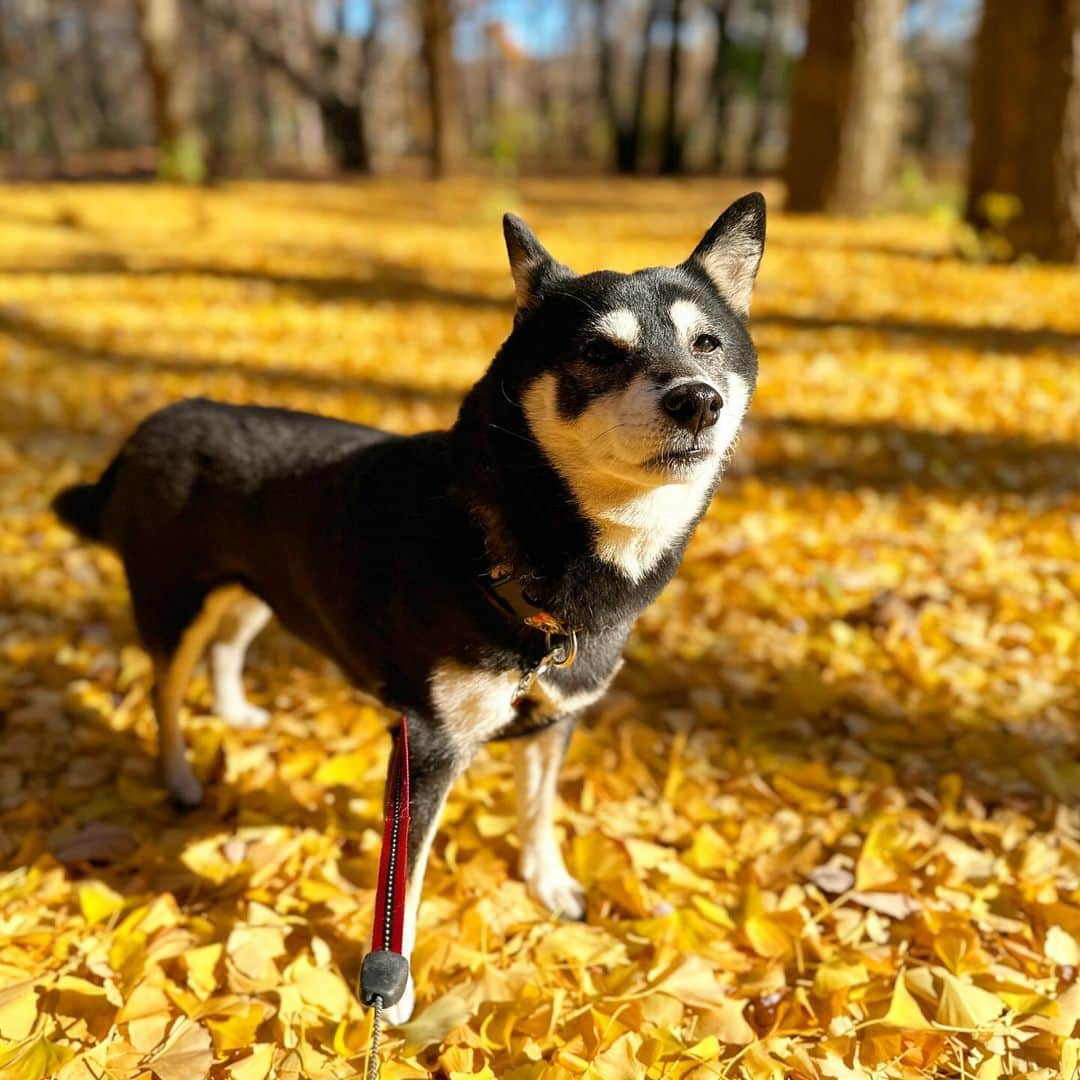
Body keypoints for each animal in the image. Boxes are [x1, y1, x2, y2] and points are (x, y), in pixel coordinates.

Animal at [52, 194, 768, 1019]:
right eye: (597, 352)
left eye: (707, 343)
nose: (698, 399)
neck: (523, 553)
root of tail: (146, 429)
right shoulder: (426, 743)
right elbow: (409, 877)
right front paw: (391, 993)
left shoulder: (557, 717)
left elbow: (538, 810)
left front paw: (548, 882)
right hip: (175, 605)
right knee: (165, 693)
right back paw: (178, 779)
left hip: (262, 589)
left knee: (229, 646)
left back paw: (233, 713)